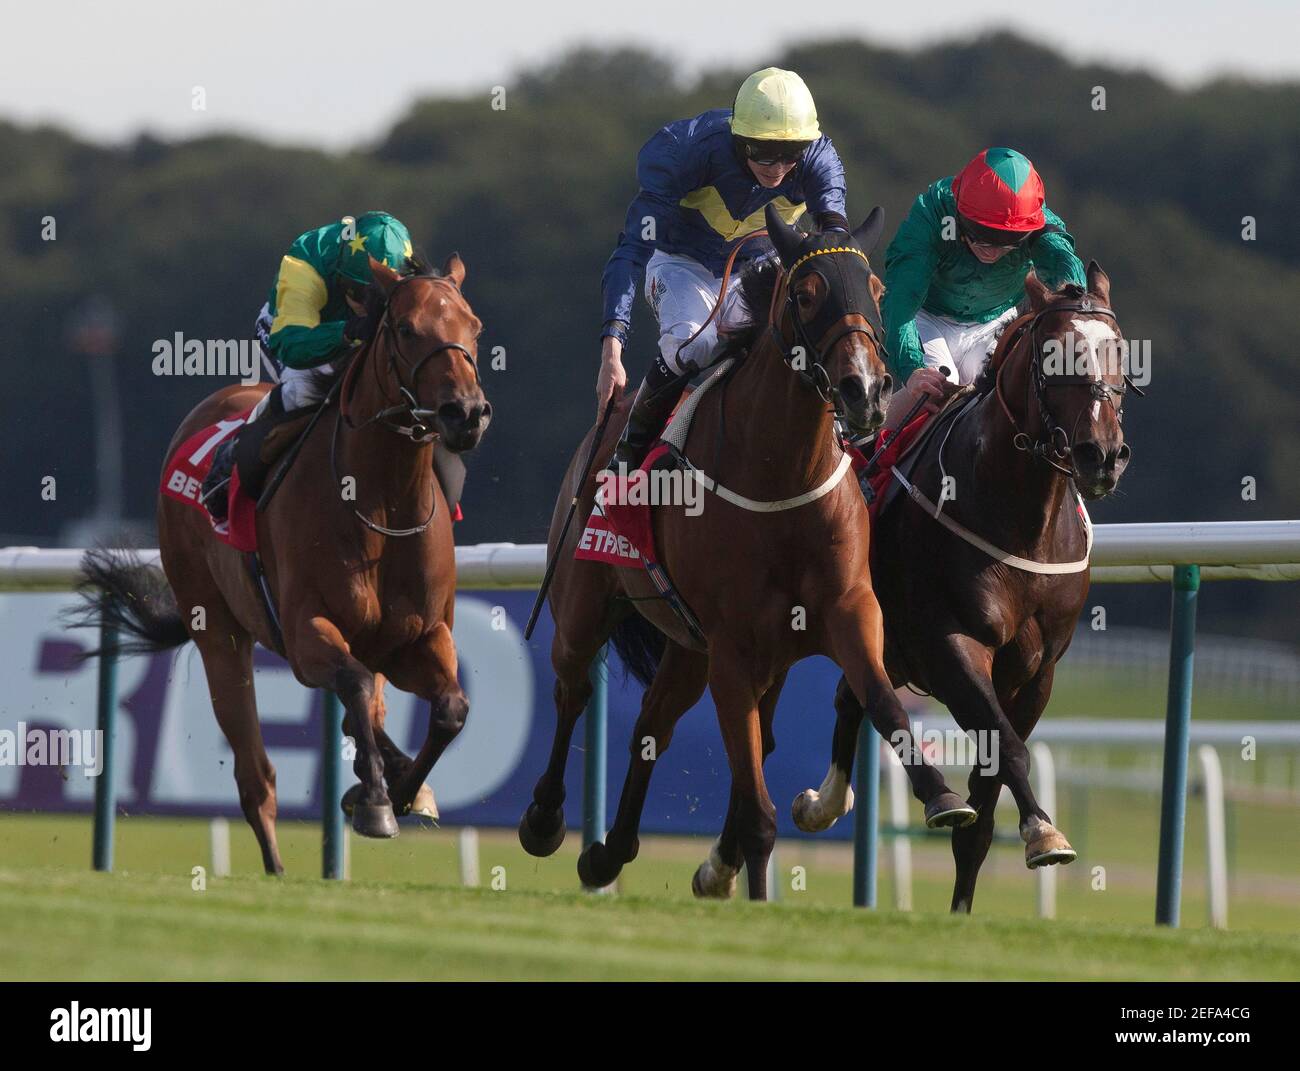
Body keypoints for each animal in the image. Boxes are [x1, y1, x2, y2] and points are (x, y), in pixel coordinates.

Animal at [72, 253, 491, 874]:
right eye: (406, 328)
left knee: (367, 710)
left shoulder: (421, 636)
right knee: (258, 777)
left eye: (474, 327)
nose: (465, 412)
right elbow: (355, 685)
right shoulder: (305, 631)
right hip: (218, 632)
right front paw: (376, 802)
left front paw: (402, 789)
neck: (380, 504)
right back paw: (277, 865)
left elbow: (449, 709)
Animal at [519, 203, 973, 900]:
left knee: (651, 726)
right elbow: (758, 806)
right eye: (807, 294)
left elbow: (878, 696)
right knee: (572, 689)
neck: (780, 479)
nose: (866, 391)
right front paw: (750, 887)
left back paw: (609, 852)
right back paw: (545, 820)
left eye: (874, 291)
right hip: (584, 604)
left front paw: (940, 794)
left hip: (690, 645)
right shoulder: (733, 647)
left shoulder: (847, 611)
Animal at [822, 262, 1133, 910]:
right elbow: (1006, 748)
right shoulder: (951, 647)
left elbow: (986, 803)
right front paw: (1044, 833)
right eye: (1051, 355)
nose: (1102, 454)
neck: (1023, 524)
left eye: (1119, 351)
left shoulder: (1037, 672)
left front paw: (965, 904)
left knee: (850, 693)